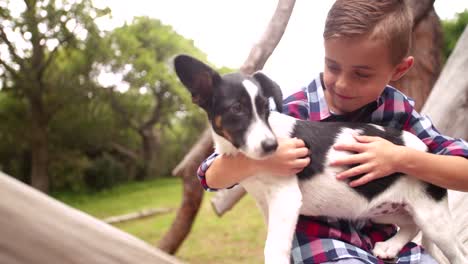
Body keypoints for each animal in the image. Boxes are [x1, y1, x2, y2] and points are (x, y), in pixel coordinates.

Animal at [173, 54, 468, 264]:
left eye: (266, 108)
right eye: (236, 109)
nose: (272, 147)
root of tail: (426, 149)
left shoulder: (285, 198)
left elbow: (275, 248)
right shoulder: (268, 205)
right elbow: (278, 242)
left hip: (433, 216)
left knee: (455, 253)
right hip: (388, 207)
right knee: (409, 224)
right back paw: (389, 246)